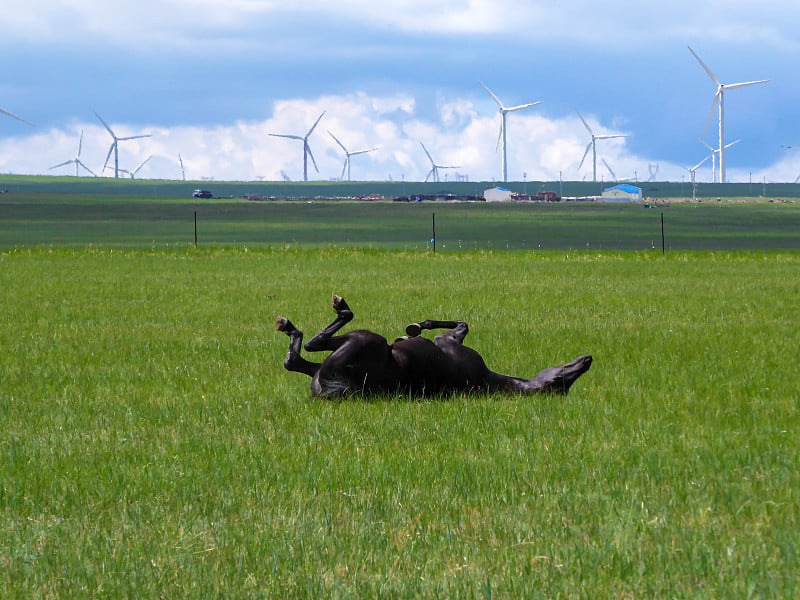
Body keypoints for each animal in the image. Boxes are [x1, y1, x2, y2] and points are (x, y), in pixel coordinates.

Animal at [278, 296, 592, 398]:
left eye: (560, 383)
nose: (587, 359)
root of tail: (330, 388)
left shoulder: (449, 342)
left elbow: (460, 326)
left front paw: (414, 328)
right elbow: (462, 323)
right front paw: (416, 327)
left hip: (365, 340)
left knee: (311, 344)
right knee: (295, 361)